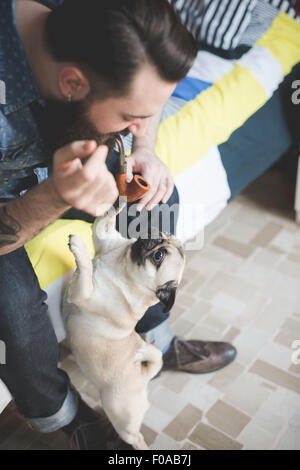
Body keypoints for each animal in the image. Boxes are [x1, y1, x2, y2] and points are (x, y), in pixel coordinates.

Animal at [62, 200, 185, 450]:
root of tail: (144, 376)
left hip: (121, 416)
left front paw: (78, 247)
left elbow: (85, 270)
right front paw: (118, 199)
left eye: (158, 256)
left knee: (136, 437)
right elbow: (103, 221)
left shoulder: (81, 293)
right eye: (164, 236)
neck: (122, 265)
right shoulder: (103, 234)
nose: (154, 234)